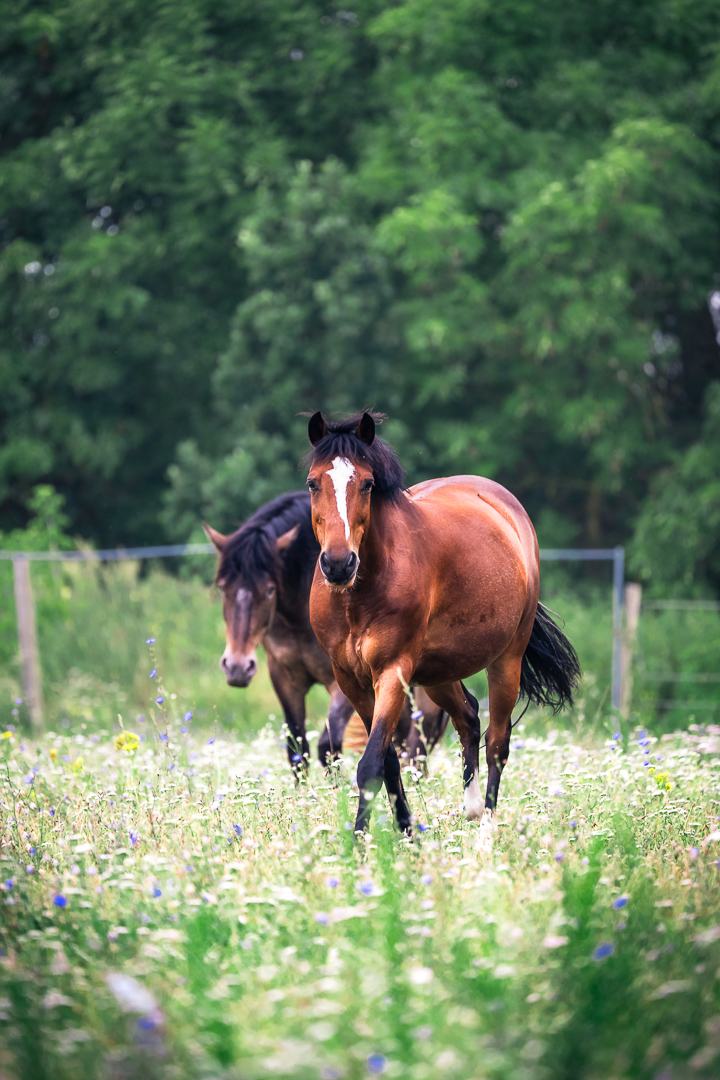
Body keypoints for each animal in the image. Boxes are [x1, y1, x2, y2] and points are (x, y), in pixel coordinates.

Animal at [203, 492, 447, 774]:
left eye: (269, 590)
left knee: (418, 748)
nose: (237, 667)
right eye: (223, 588)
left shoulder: (344, 680)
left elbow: (328, 746)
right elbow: (297, 752)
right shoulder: (285, 678)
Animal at [305, 411, 581, 839]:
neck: (358, 595)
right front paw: (406, 831)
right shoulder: (350, 679)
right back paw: (469, 810)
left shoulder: (393, 671)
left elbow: (370, 763)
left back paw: (485, 827)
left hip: (506, 660)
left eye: (367, 484)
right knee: (468, 717)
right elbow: (388, 758)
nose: (338, 564)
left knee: (497, 741)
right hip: (438, 673)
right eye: (313, 483)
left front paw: (359, 842)